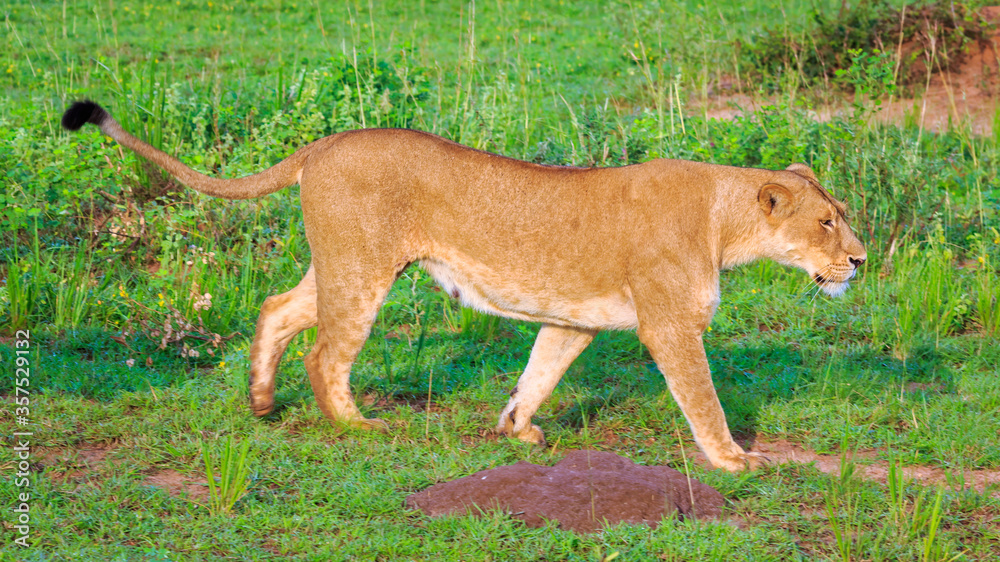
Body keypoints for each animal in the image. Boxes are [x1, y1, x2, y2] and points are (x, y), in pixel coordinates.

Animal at [62, 100, 866, 471]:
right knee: (327, 352)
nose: (859, 262)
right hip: (365, 270)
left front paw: (517, 429)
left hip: (339, 262)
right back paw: (356, 426)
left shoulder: (573, 319)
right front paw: (733, 460)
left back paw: (262, 404)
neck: (725, 222)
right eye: (828, 222)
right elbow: (703, 397)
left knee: (278, 310)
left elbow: (540, 371)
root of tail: (328, 141)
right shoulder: (671, 325)